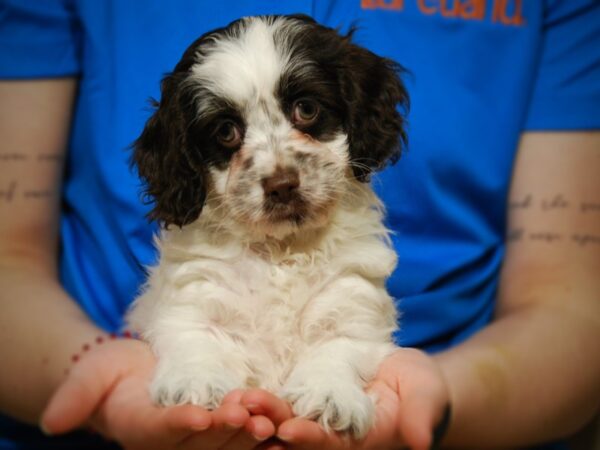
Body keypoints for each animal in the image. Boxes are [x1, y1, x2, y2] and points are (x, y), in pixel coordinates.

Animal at [126, 14, 408, 440]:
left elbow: (337, 347)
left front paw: (328, 394)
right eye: (226, 131)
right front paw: (196, 380)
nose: (282, 185)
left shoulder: (351, 304)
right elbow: (196, 337)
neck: (281, 250)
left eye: (306, 109)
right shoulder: (193, 297)